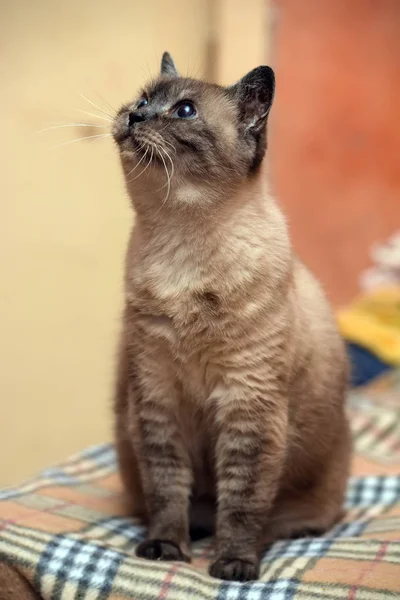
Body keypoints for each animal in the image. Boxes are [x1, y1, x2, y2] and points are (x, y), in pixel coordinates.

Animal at [111, 52, 350, 580]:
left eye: (183, 111)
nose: (134, 116)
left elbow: (241, 504)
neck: (181, 244)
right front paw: (165, 549)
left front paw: (234, 565)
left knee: (275, 517)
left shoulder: (248, 408)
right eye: (143, 100)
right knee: (189, 508)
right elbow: (166, 491)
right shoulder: (158, 402)